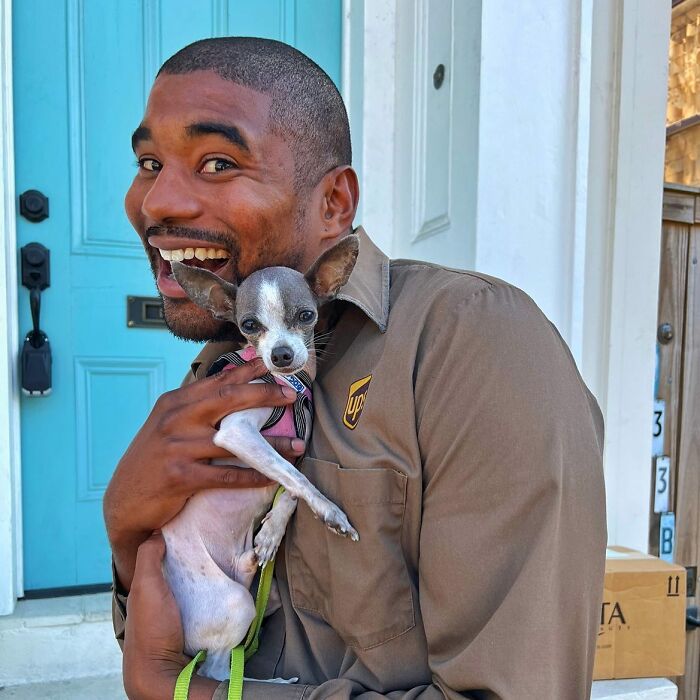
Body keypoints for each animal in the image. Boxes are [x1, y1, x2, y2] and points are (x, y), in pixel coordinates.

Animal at [163, 234, 360, 680]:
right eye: (249, 326)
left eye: (306, 315)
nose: (282, 355)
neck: (288, 385)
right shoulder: (236, 432)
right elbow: (298, 480)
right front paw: (330, 512)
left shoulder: (299, 447)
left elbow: (290, 487)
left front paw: (272, 531)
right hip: (236, 604)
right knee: (217, 673)